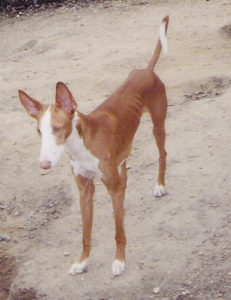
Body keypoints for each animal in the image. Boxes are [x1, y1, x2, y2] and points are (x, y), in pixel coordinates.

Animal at [18, 15, 169, 276]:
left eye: (58, 128)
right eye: (39, 131)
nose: (44, 164)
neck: (82, 147)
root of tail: (146, 70)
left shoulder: (111, 188)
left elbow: (119, 231)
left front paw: (119, 260)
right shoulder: (84, 189)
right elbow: (85, 233)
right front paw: (82, 261)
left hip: (158, 125)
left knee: (163, 154)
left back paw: (159, 185)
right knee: (125, 173)